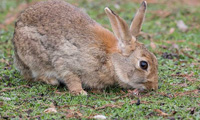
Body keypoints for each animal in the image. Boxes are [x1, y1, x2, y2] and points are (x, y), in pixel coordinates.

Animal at [12, 0, 158, 95]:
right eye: (143, 64)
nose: (153, 86)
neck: (110, 59)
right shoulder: (66, 60)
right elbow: (70, 77)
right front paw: (79, 92)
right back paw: (51, 80)